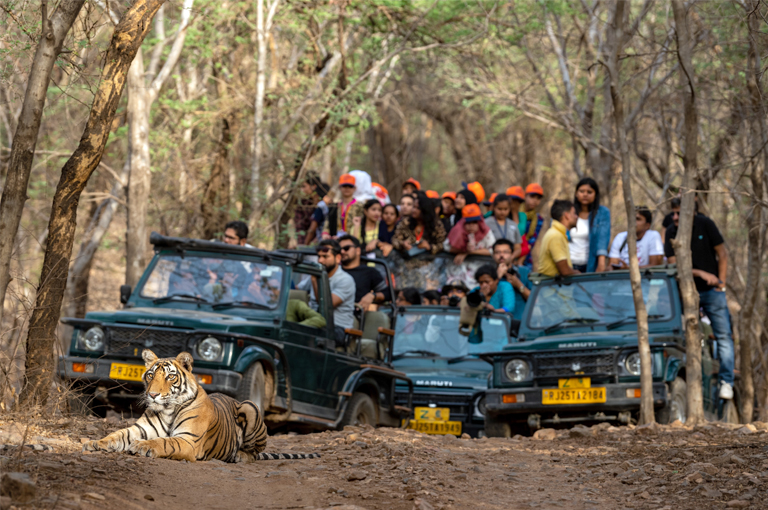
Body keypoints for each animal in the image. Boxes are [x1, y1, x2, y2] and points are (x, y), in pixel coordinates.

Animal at [83, 350, 320, 462]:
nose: (152, 395)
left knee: (254, 452)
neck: (168, 409)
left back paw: (240, 456)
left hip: (250, 406)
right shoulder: (139, 428)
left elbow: (164, 442)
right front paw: (94, 443)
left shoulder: (188, 440)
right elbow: (117, 435)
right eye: (150, 375)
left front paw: (143, 446)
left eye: (170, 376)